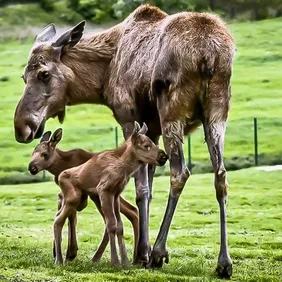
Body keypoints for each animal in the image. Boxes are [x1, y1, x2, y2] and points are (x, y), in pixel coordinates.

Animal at [52, 121, 167, 266]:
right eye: (146, 145)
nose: (163, 157)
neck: (125, 169)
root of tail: (59, 176)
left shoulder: (116, 194)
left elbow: (120, 225)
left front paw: (125, 262)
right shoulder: (104, 190)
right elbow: (112, 224)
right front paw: (115, 262)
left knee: (58, 216)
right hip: (74, 197)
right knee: (58, 220)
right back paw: (59, 260)